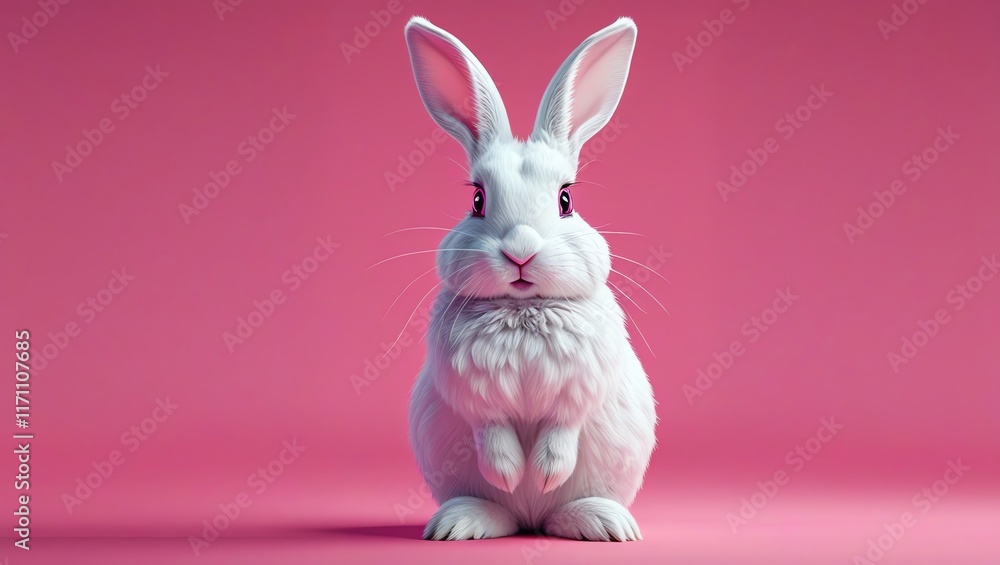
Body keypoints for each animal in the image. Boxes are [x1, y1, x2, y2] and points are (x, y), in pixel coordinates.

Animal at [403, 15, 657, 542]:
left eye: (566, 200)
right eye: (477, 200)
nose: (520, 250)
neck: (524, 310)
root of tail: (531, 521)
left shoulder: (578, 390)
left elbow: (562, 431)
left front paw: (542, 475)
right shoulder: (474, 396)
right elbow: (493, 432)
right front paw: (510, 472)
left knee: (561, 512)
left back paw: (604, 524)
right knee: (500, 513)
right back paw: (459, 524)